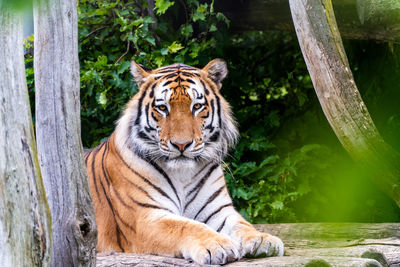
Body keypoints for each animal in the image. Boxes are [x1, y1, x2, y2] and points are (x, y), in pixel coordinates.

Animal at [84, 58, 284, 266]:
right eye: (162, 108)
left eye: (196, 106)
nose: (181, 144)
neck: (183, 174)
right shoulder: (145, 216)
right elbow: (185, 227)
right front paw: (218, 244)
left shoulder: (218, 210)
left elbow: (242, 225)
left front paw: (262, 239)